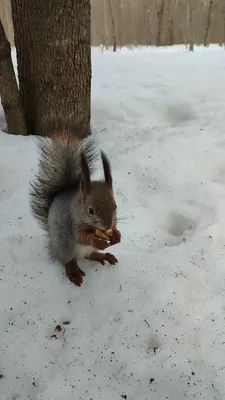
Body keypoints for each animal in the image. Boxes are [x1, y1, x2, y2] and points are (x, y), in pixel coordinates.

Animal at [30, 130, 121, 286]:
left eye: (115, 205)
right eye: (91, 210)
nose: (107, 225)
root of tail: (54, 248)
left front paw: (116, 235)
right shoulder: (73, 223)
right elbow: (82, 237)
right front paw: (97, 241)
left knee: (90, 255)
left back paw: (103, 256)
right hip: (64, 245)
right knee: (68, 260)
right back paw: (74, 272)